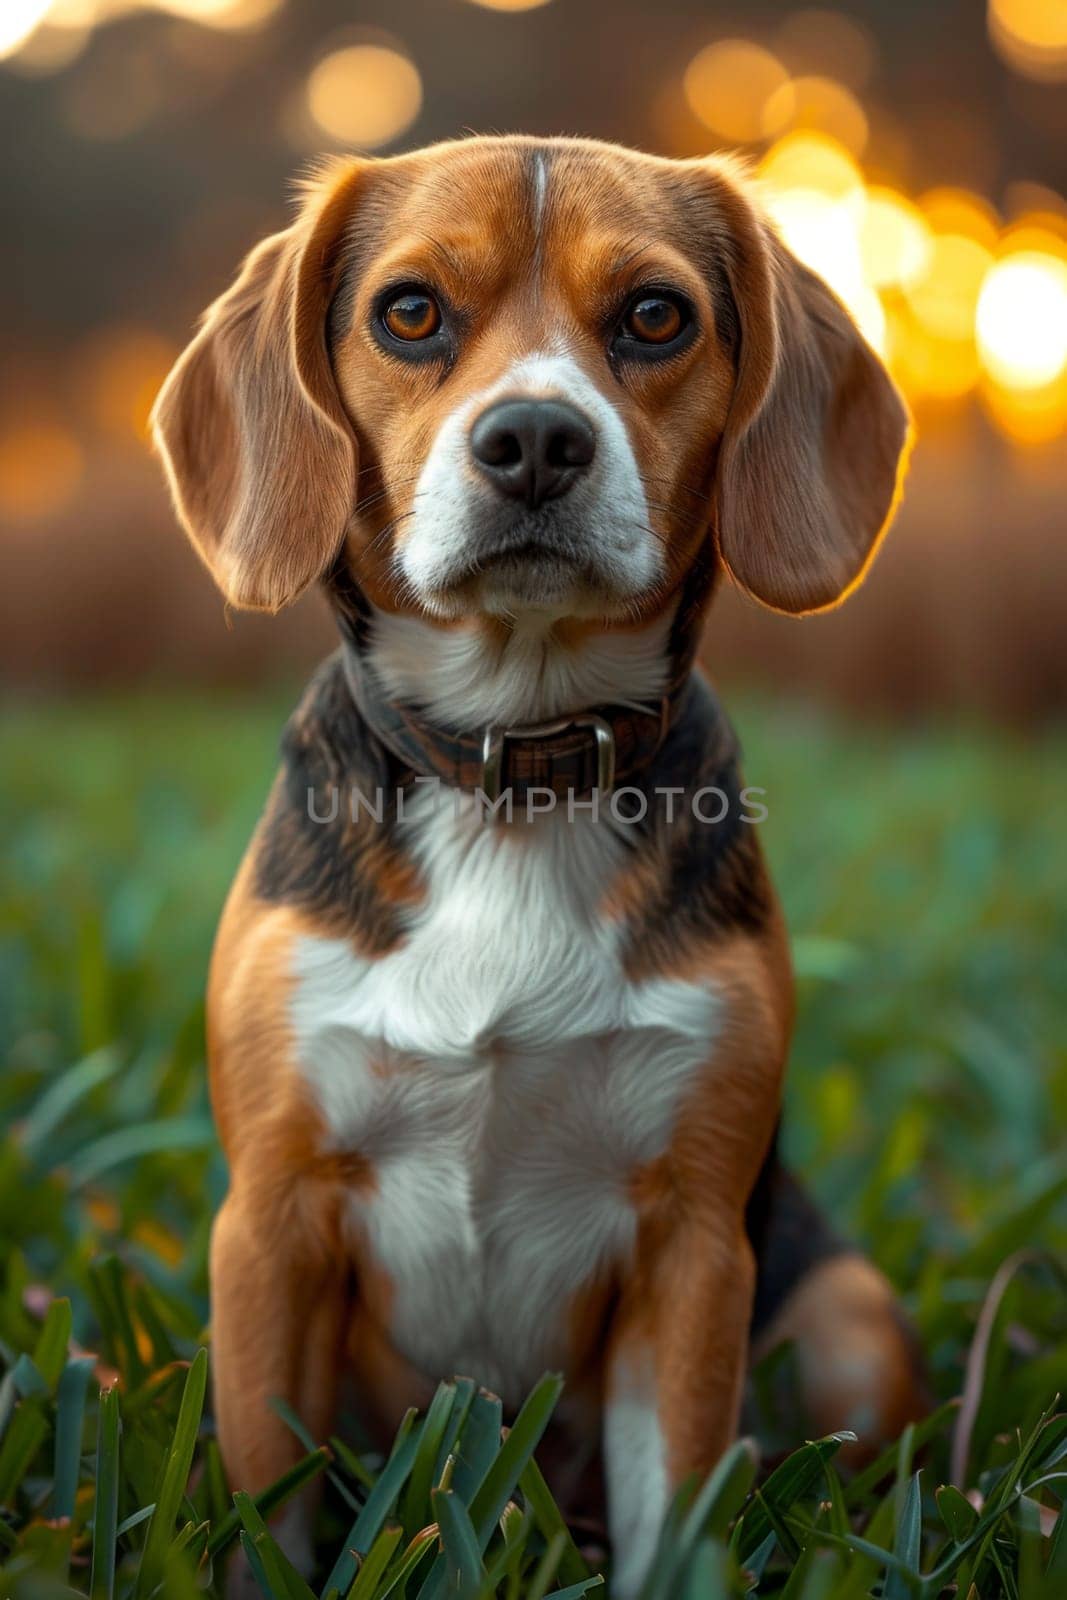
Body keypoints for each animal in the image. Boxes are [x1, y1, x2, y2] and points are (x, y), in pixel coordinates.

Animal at [151, 134, 927, 1587]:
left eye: (654, 316)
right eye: (407, 311)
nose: (531, 442)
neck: (513, 768)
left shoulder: (692, 1245)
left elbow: (672, 1516)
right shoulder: (271, 1225)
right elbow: (266, 1509)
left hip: (846, 1321)